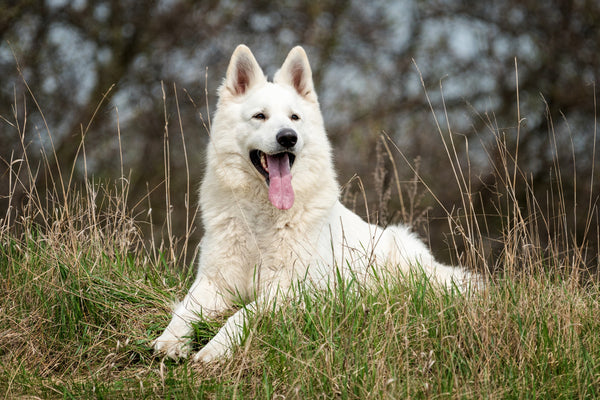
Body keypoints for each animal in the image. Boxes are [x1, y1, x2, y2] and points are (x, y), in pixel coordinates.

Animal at [152, 44, 472, 362]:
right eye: (260, 116)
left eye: (294, 118)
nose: (288, 138)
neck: (261, 222)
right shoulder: (212, 282)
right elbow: (185, 311)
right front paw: (170, 341)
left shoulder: (289, 290)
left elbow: (243, 314)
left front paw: (215, 348)